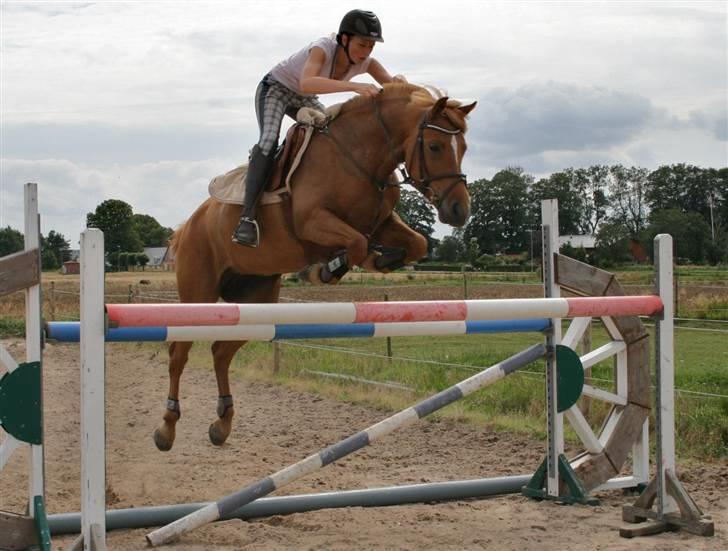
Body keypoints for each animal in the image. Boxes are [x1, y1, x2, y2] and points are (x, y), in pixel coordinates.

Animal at [154, 84, 478, 450]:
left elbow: (416, 244)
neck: (361, 156)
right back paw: (167, 427)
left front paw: (377, 260)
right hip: (199, 293)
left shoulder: (382, 224)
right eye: (435, 146)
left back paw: (222, 423)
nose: (459, 210)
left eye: (464, 148)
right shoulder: (313, 222)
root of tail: (187, 225)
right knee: (178, 353)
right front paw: (322, 270)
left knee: (221, 352)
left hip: (257, 300)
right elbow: (357, 244)